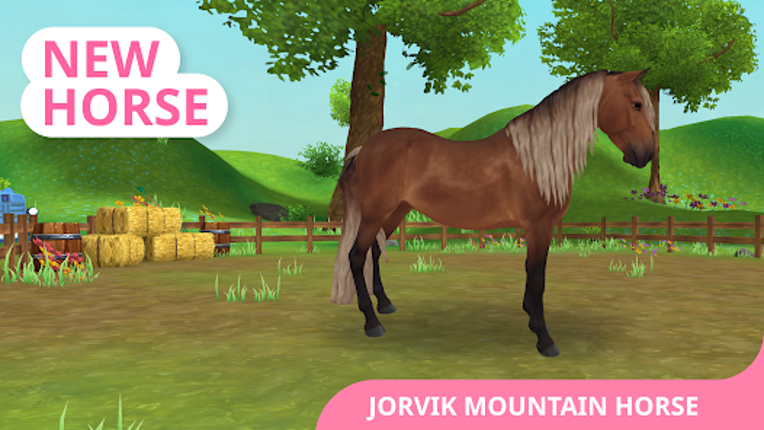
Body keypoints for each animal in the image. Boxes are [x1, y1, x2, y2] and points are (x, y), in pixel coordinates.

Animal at [331, 69, 655, 357]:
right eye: (636, 104)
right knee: (356, 256)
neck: (536, 160)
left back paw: (385, 304)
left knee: (374, 251)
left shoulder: (536, 228)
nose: (646, 155)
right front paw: (544, 339)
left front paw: (530, 317)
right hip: (375, 214)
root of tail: (365, 148)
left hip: (394, 212)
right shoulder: (539, 226)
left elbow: (530, 271)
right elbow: (537, 278)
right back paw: (373, 323)